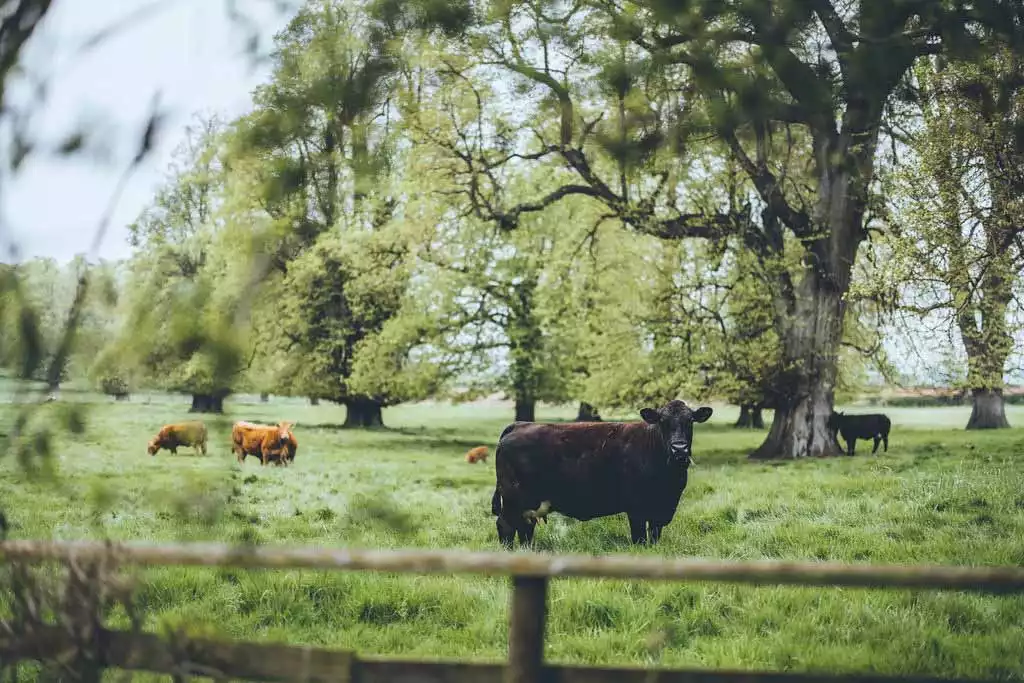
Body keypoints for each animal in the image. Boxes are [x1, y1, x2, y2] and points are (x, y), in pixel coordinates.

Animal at [490, 399, 713, 549]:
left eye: (690, 421)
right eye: (663, 421)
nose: (680, 449)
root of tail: (519, 424)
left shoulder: (661, 509)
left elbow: (655, 535)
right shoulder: (637, 508)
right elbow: (640, 537)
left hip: (528, 505)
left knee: (524, 528)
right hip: (513, 499)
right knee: (506, 526)